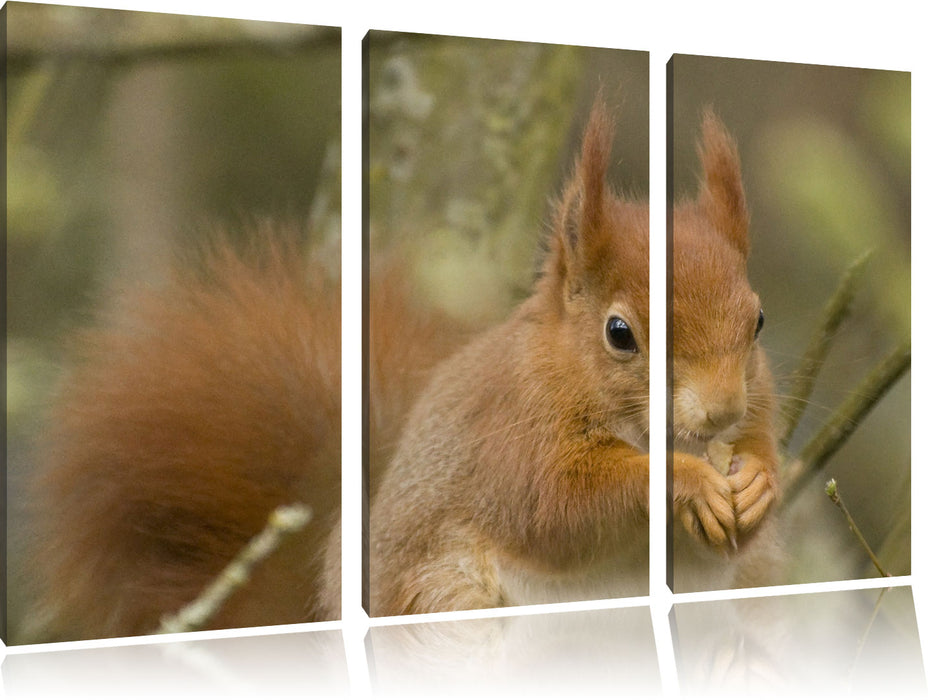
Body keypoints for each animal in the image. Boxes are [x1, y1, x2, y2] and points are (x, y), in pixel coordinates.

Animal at [366, 100, 784, 612]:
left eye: (758, 319)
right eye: (619, 334)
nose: (722, 410)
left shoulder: (758, 401)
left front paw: (759, 479)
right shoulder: (515, 429)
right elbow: (555, 506)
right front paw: (690, 480)